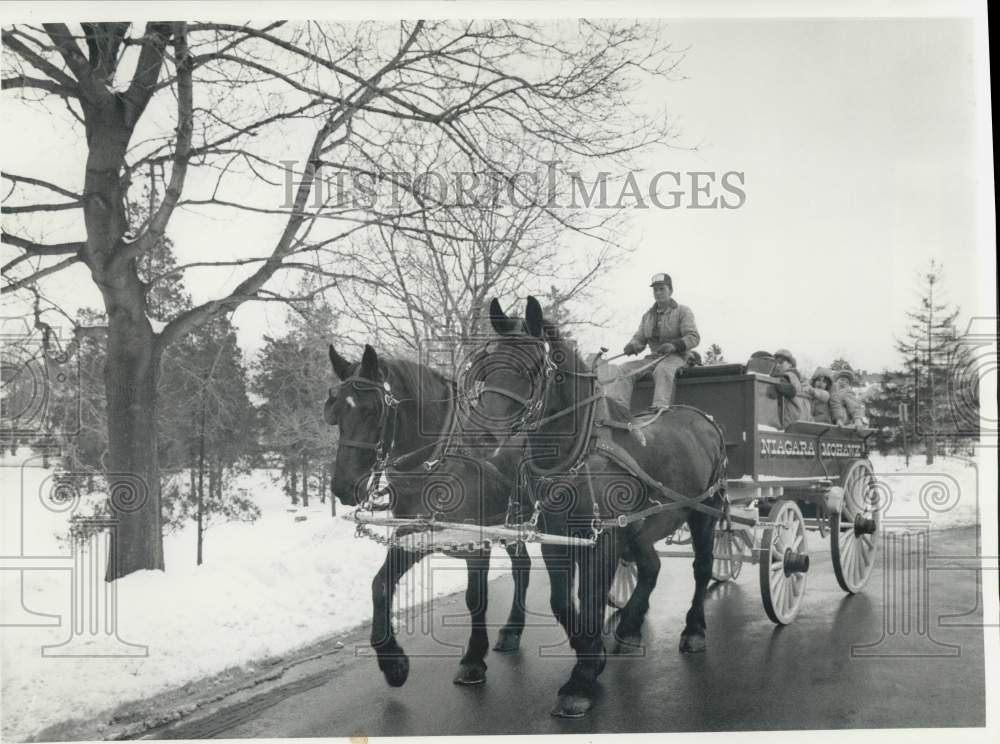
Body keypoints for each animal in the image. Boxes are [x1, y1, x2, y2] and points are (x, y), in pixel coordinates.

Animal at [326, 342, 532, 684]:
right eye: (336, 411)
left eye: (372, 410)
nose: (343, 486)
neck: (437, 464)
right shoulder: (412, 536)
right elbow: (380, 585)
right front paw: (392, 661)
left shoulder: (476, 543)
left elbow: (476, 598)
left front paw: (473, 658)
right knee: (523, 568)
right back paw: (512, 631)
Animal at [468, 300, 728, 716]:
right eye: (484, 363)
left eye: (531, 368)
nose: (480, 436)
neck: (578, 452)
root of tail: (703, 418)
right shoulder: (557, 537)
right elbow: (561, 603)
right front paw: (590, 654)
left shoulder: (603, 538)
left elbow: (589, 600)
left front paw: (582, 679)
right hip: (642, 525)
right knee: (651, 567)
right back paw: (628, 629)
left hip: (704, 511)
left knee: (702, 568)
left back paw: (693, 630)